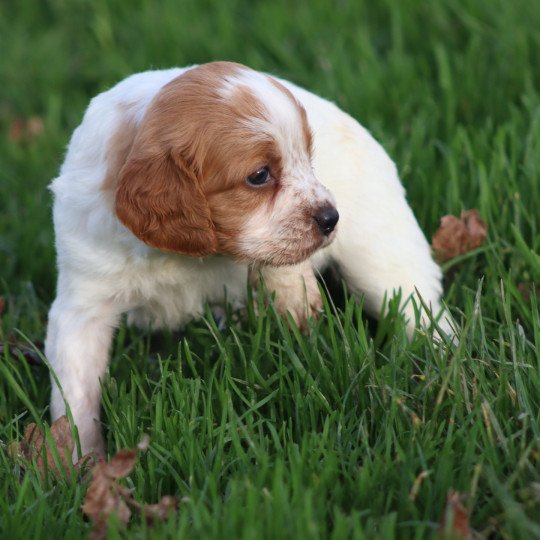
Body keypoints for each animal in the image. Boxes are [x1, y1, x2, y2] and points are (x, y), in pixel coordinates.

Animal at [45, 60, 452, 456]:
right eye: (259, 175)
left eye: (309, 158)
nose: (331, 218)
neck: (184, 255)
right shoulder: (83, 303)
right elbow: (74, 395)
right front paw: (79, 461)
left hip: (382, 261)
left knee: (423, 312)